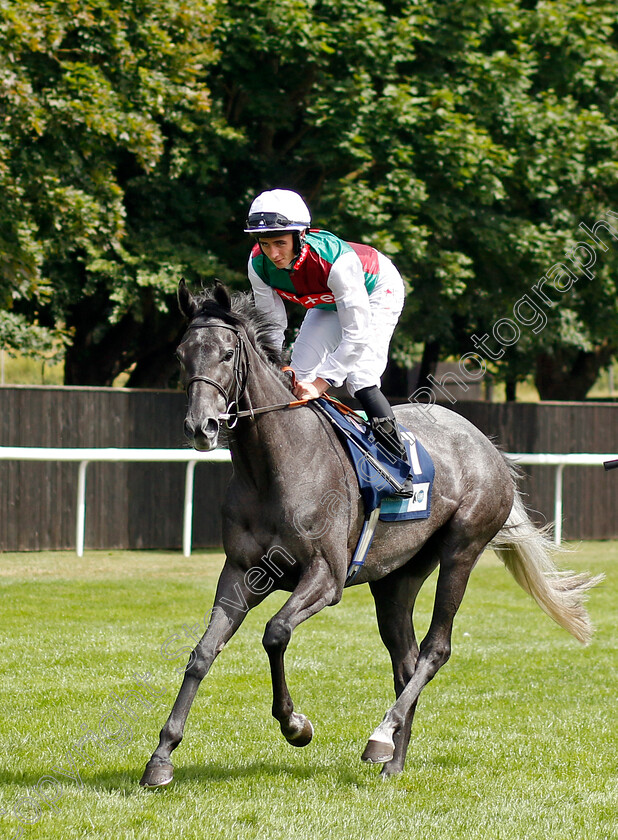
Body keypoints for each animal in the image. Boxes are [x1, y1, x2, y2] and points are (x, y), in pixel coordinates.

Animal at [140, 282, 596, 788]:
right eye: (181, 355)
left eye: (225, 353)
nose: (201, 427)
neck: (275, 468)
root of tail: (487, 446)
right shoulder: (241, 572)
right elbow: (203, 653)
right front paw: (161, 757)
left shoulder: (326, 576)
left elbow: (276, 632)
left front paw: (295, 725)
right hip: (397, 579)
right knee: (406, 660)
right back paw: (393, 759)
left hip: (463, 548)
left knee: (435, 650)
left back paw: (380, 736)